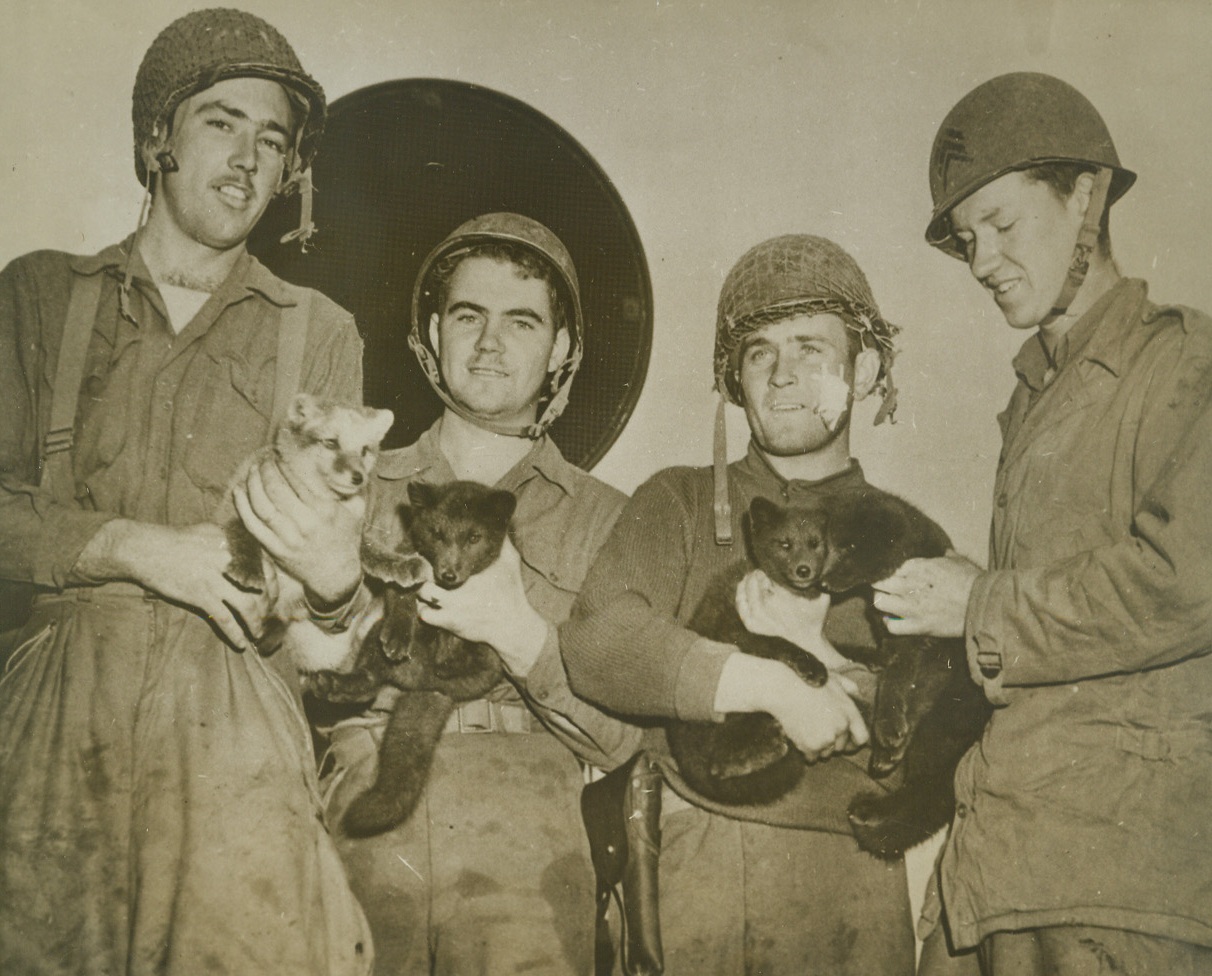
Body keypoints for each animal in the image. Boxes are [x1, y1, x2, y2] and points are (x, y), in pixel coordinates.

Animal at [221, 390, 402, 669]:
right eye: (331, 443)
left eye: (364, 450)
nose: (358, 478)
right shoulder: (238, 503)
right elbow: (242, 535)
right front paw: (247, 569)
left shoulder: (351, 533)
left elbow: (369, 549)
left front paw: (401, 564)